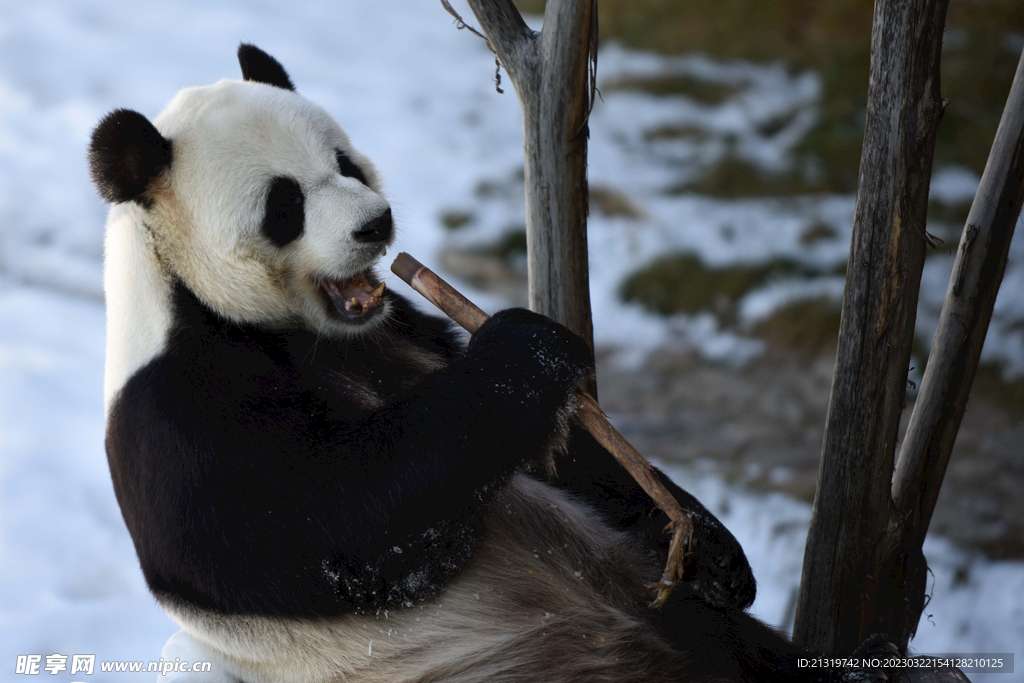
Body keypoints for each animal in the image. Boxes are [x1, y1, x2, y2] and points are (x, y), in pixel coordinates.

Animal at [90, 44, 888, 683]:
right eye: (284, 204)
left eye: (344, 163)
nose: (374, 223)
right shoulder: (185, 416)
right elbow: (348, 521)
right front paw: (526, 345)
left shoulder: (399, 330)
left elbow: (559, 455)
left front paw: (707, 545)